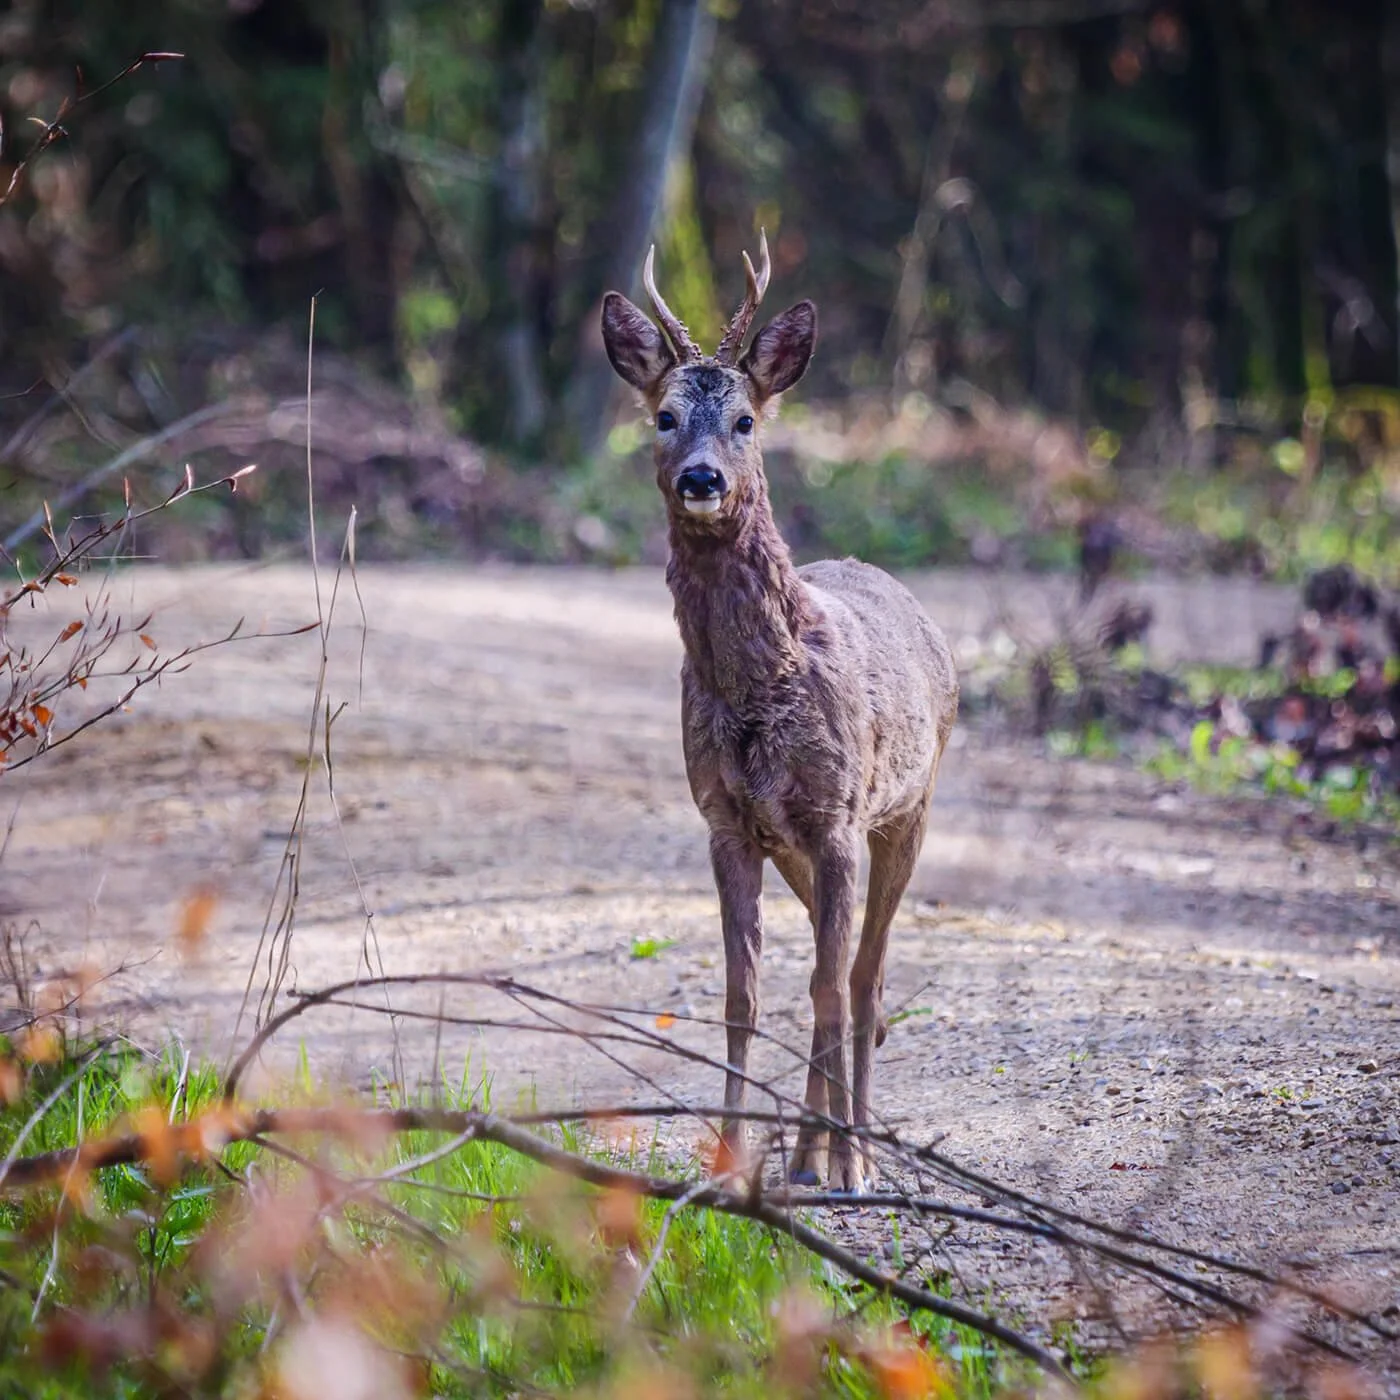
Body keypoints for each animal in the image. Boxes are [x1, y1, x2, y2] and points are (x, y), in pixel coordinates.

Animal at [600, 233, 958, 1193]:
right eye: (663, 416)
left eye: (746, 421)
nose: (701, 478)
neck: (763, 689)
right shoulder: (725, 820)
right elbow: (743, 995)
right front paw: (731, 1168)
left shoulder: (838, 818)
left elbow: (829, 988)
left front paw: (850, 1163)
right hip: (798, 841)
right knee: (836, 975)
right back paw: (806, 1149)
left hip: (908, 808)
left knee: (864, 979)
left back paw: (846, 1149)